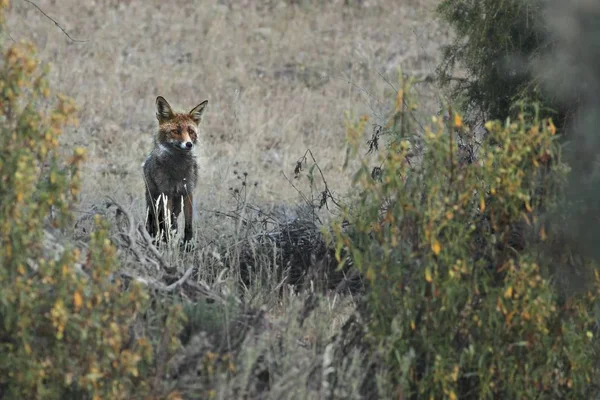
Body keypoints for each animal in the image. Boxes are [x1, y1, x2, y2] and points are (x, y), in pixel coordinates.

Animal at [143, 97, 209, 247]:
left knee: (173, 223)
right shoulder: (167, 194)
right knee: (156, 223)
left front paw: (188, 245)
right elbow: (166, 225)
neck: (179, 170)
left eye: (191, 132)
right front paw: (168, 243)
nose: (189, 144)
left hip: (177, 205)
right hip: (155, 202)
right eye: (176, 131)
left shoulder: (188, 193)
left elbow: (188, 225)